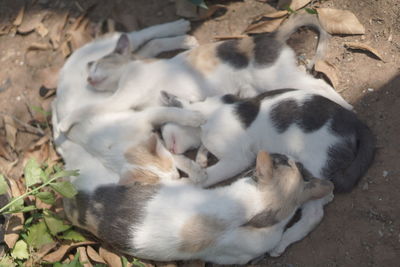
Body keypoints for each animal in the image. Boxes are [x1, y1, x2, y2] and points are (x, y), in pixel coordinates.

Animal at [160, 89, 376, 258]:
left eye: (163, 133)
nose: (169, 147)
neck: (210, 111)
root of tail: (356, 123)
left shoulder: (237, 159)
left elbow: (209, 174)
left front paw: (187, 180)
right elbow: (204, 149)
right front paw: (201, 157)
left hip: (316, 162)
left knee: (315, 213)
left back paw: (283, 241)